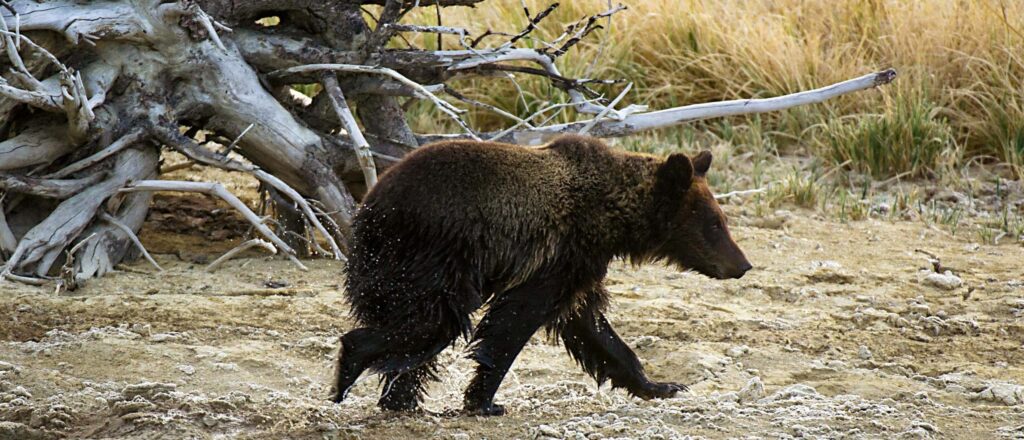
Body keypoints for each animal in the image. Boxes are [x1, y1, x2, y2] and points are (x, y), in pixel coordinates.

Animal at [332, 134, 751, 415]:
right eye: (715, 223)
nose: (743, 264)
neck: (612, 217)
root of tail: (367, 208)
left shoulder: (580, 266)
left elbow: (590, 327)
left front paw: (661, 385)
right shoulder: (559, 251)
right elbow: (515, 320)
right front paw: (484, 401)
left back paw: (401, 400)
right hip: (432, 257)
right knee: (431, 324)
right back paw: (350, 374)